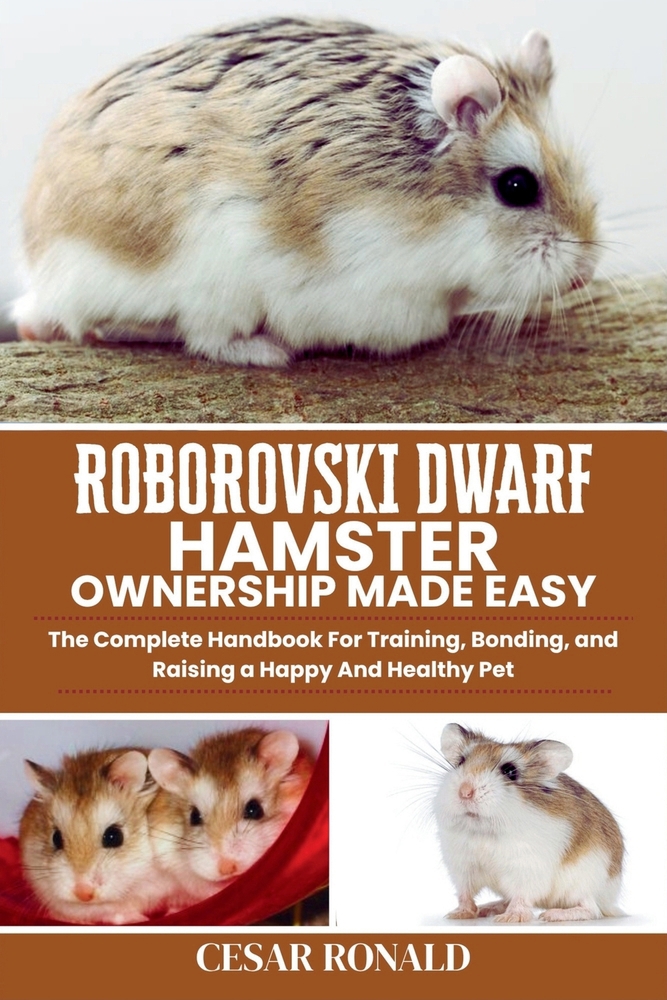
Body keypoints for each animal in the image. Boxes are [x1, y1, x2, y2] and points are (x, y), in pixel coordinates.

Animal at [13, 18, 599, 366]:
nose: (584, 275)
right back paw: (269, 351)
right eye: (517, 186)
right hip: (210, 283)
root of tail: (42, 273)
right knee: (175, 334)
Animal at [435, 723, 624, 923]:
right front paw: (457, 914)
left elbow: (522, 896)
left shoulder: (526, 867)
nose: (465, 792)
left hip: (582, 884)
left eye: (510, 771)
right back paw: (489, 908)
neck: (485, 829)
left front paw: (509, 918)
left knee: (591, 909)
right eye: (460, 762)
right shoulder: (461, 865)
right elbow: (465, 892)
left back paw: (550, 915)